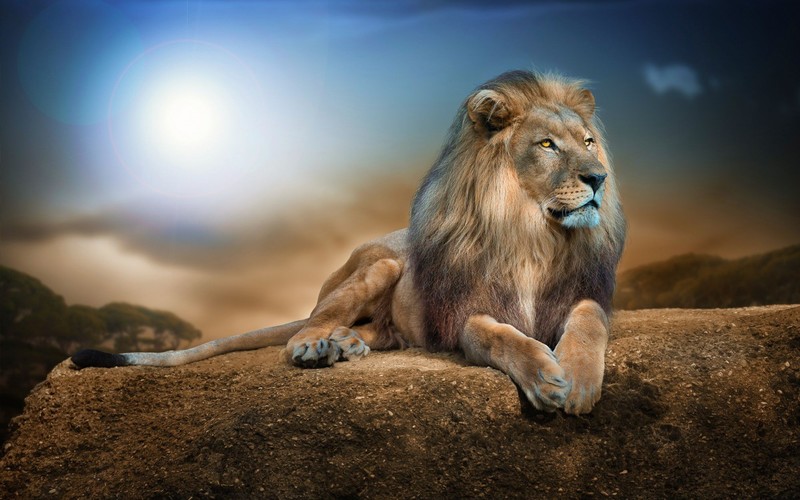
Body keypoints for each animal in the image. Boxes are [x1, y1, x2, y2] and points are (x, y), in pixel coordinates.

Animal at [72, 70, 626, 415]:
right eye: (547, 145)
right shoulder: (465, 314)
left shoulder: (582, 294)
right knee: (306, 326)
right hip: (380, 266)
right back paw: (318, 346)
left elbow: (588, 322)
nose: (598, 178)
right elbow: (501, 336)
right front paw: (545, 376)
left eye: (589, 142)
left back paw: (347, 344)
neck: (533, 234)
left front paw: (577, 379)